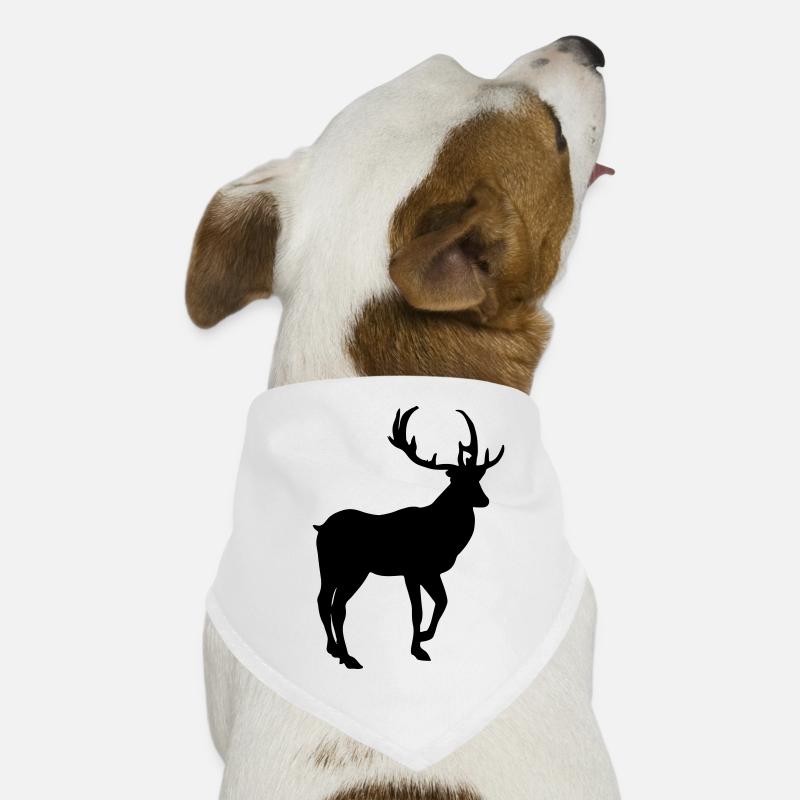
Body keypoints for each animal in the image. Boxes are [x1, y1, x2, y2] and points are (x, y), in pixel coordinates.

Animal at [314, 406, 505, 669]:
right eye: (457, 480)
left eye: (478, 478)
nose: (484, 500)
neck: (444, 535)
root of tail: (320, 527)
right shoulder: (413, 570)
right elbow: (418, 611)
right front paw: (418, 649)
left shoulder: (430, 572)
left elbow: (443, 601)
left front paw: (425, 637)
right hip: (354, 569)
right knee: (337, 607)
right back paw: (348, 657)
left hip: (329, 568)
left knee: (323, 601)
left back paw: (333, 649)